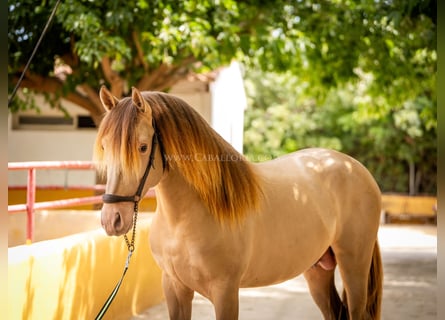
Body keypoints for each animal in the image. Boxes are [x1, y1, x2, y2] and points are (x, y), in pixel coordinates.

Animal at [93, 86, 382, 318]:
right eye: (105, 146)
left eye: (142, 147)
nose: (112, 219)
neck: (185, 221)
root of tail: (354, 167)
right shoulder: (174, 288)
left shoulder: (226, 291)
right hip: (318, 270)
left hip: (354, 266)